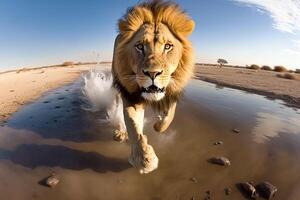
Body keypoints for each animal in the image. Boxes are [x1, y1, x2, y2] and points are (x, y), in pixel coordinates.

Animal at [112, 0, 195, 173]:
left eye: (168, 46)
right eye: (139, 46)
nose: (152, 73)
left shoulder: (171, 93)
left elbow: (169, 116)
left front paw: (158, 125)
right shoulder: (130, 97)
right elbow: (133, 126)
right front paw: (144, 159)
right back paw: (121, 134)